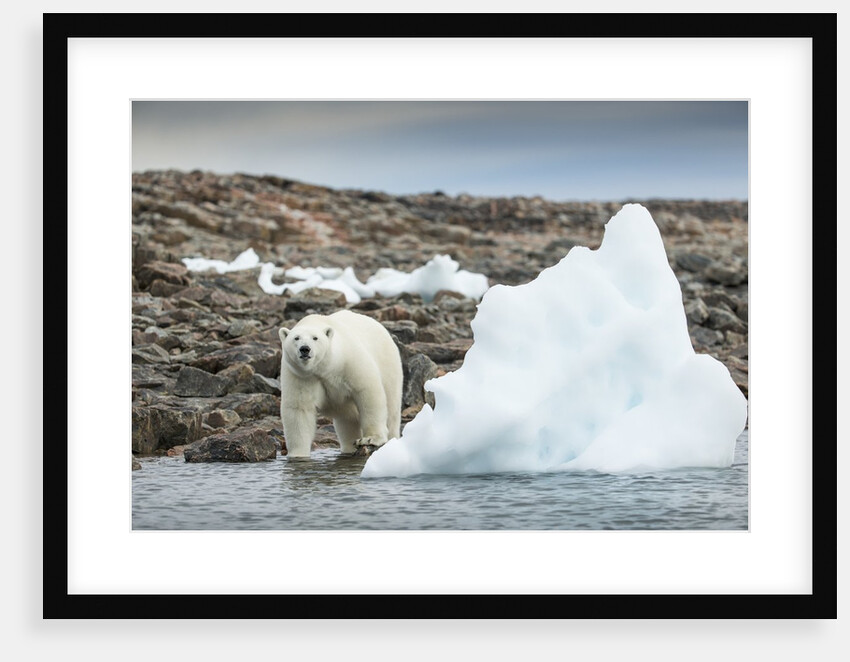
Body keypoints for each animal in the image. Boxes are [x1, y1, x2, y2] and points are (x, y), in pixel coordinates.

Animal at [278, 309, 403, 457]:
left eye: (315, 338)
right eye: (296, 338)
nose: (305, 349)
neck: (325, 367)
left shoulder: (349, 361)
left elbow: (368, 391)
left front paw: (370, 438)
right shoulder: (301, 376)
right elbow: (299, 409)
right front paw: (297, 454)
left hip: (388, 365)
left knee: (391, 408)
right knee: (347, 421)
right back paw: (349, 447)